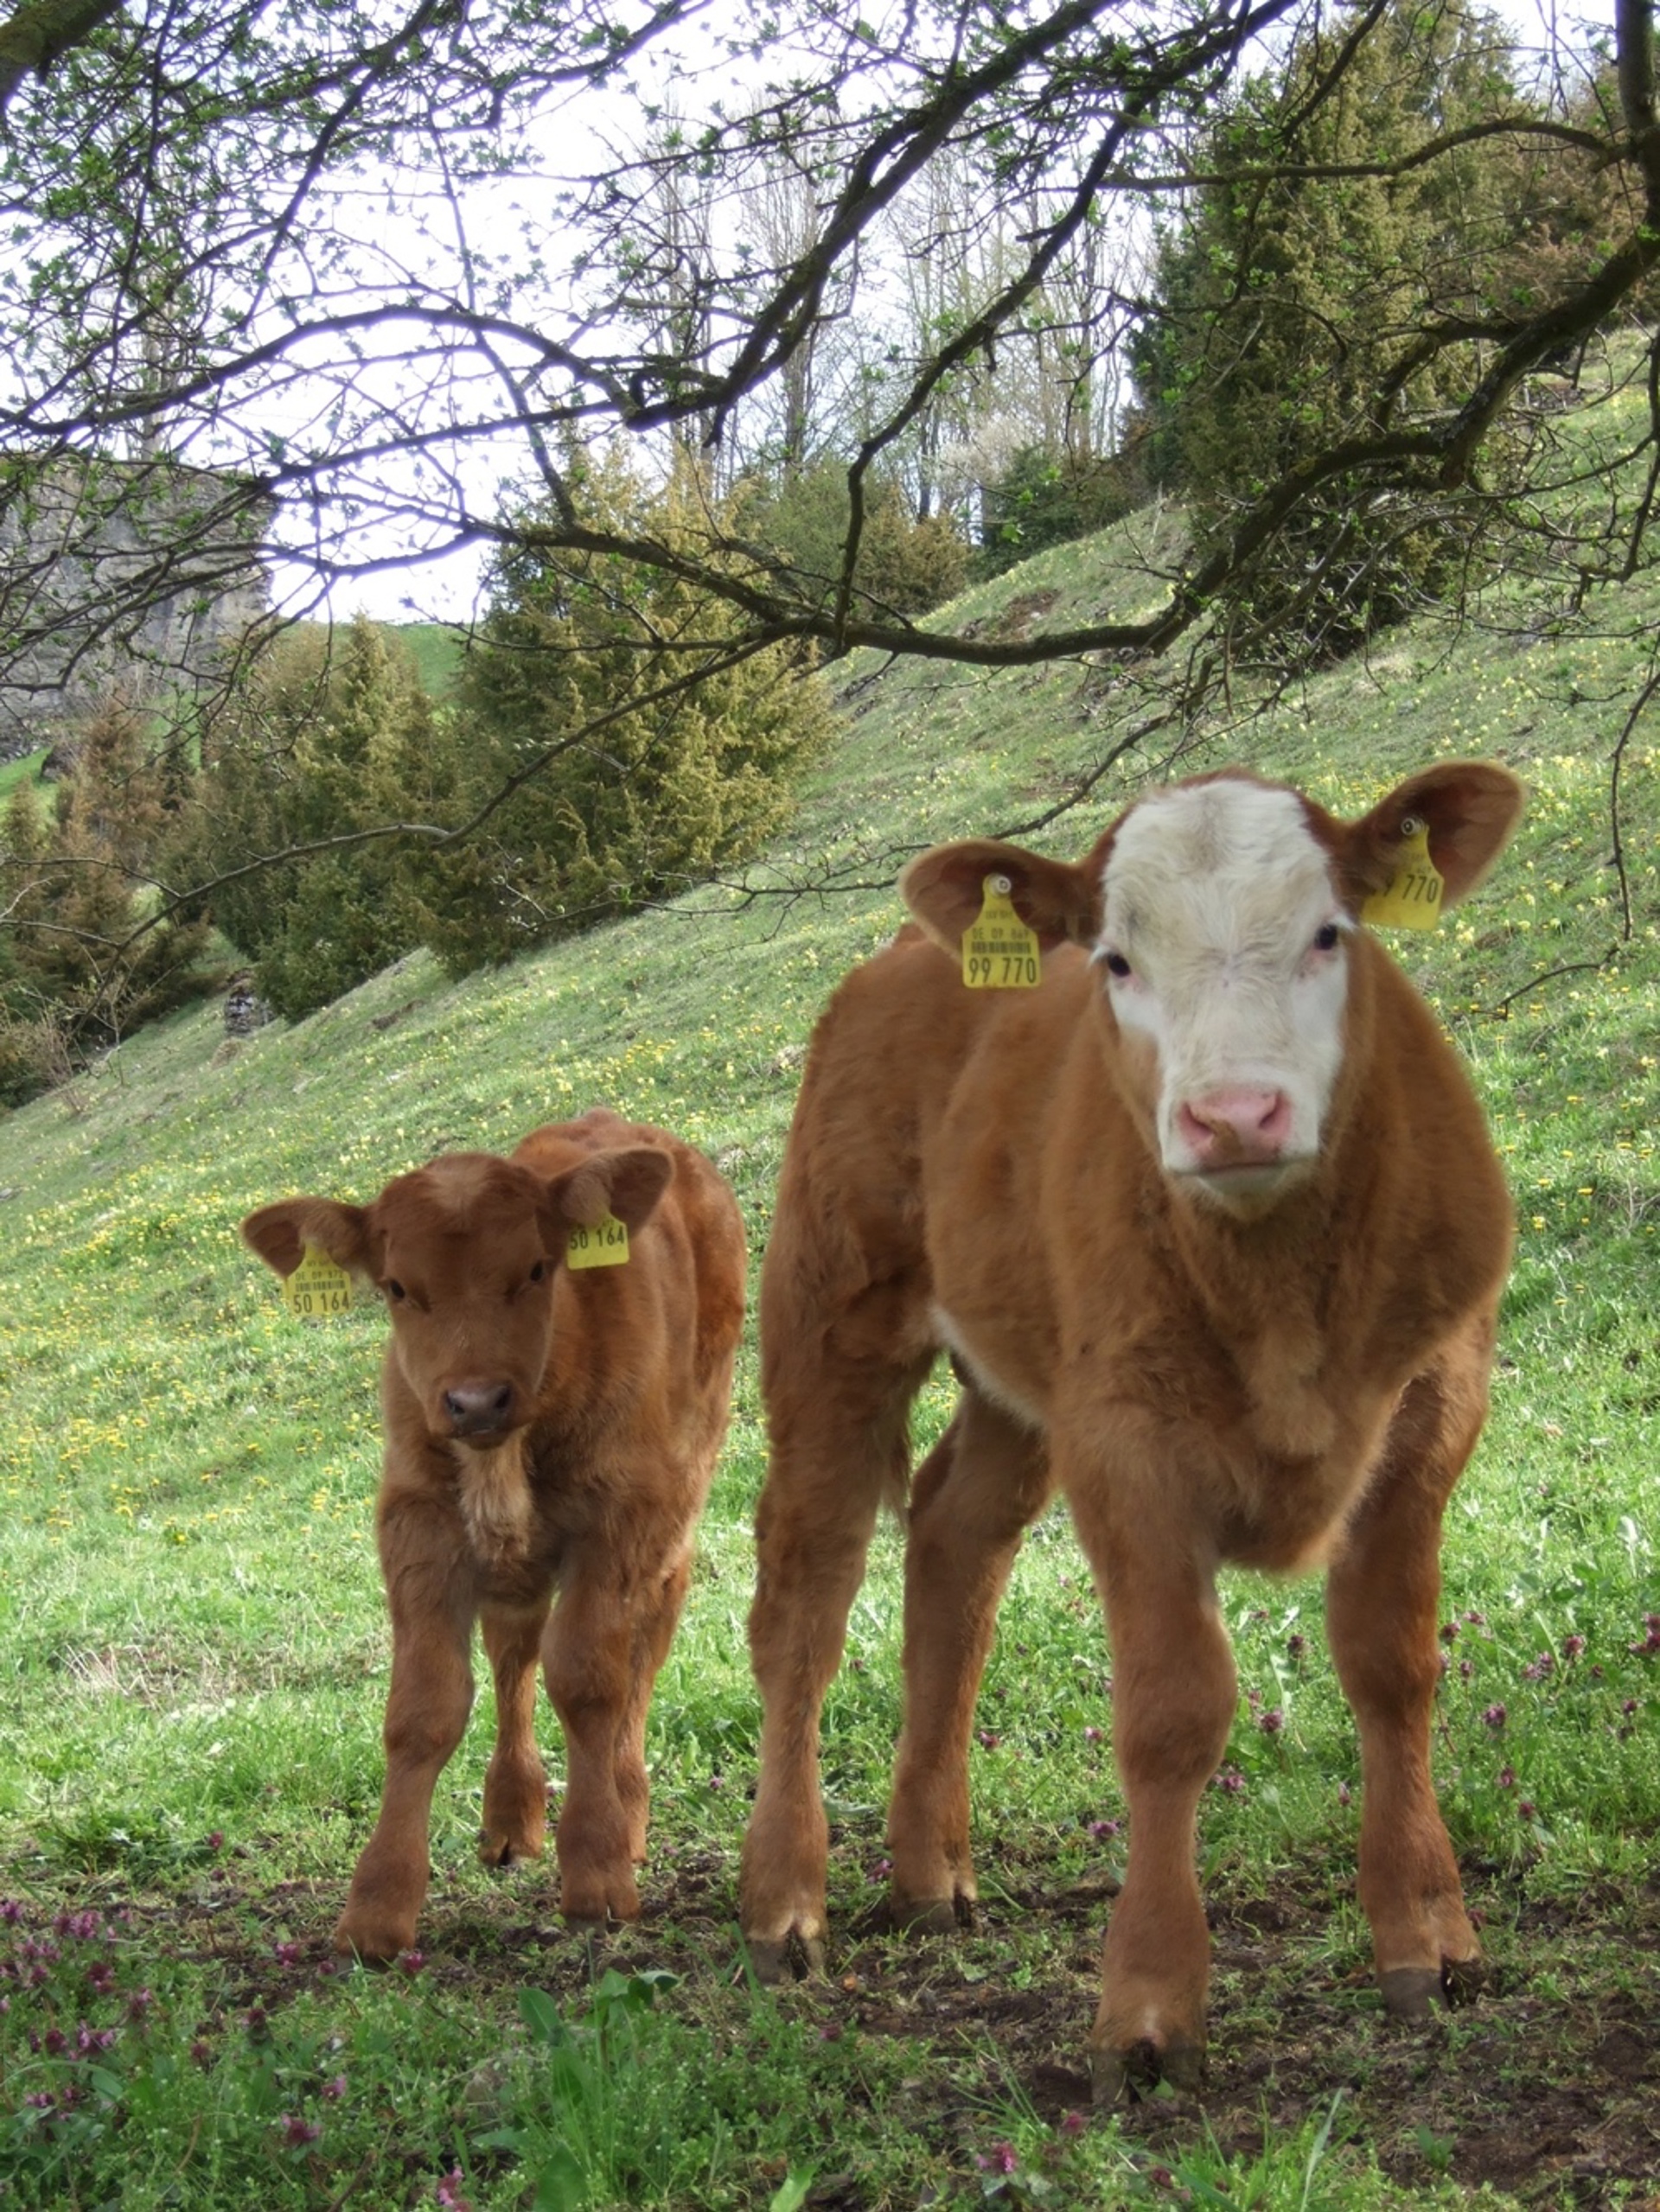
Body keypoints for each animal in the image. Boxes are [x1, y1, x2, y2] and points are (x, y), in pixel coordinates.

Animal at [243, 1114, 744, 1964]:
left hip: (680, 1501)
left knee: (643, 1649)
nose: (476, 1400)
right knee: (515, 1651)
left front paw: (598, 1870)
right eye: (397, 1287)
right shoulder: (415, 1522)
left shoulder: (621, 1517)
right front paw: (376, 1908)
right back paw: (512, 1818)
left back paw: (628, 1810)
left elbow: (590, 1679)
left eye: (538, 1268)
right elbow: (424, 1705)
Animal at [748, 761, 1531, 2088]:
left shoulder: (1435, 1404)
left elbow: (1393, 1666)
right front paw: (1151, 2006)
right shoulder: (1124, 1441)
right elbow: (1172, 1711)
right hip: (832, 1324)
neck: (1280, 1301)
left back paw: (928, 1871)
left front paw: (1428, 1934)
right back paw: (785, 1899)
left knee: (954, 1541)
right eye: (1116, 959)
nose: (1234, 1116)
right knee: (805, 1599)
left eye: (1332, 931)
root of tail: (901, 955)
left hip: (1020, 1382)